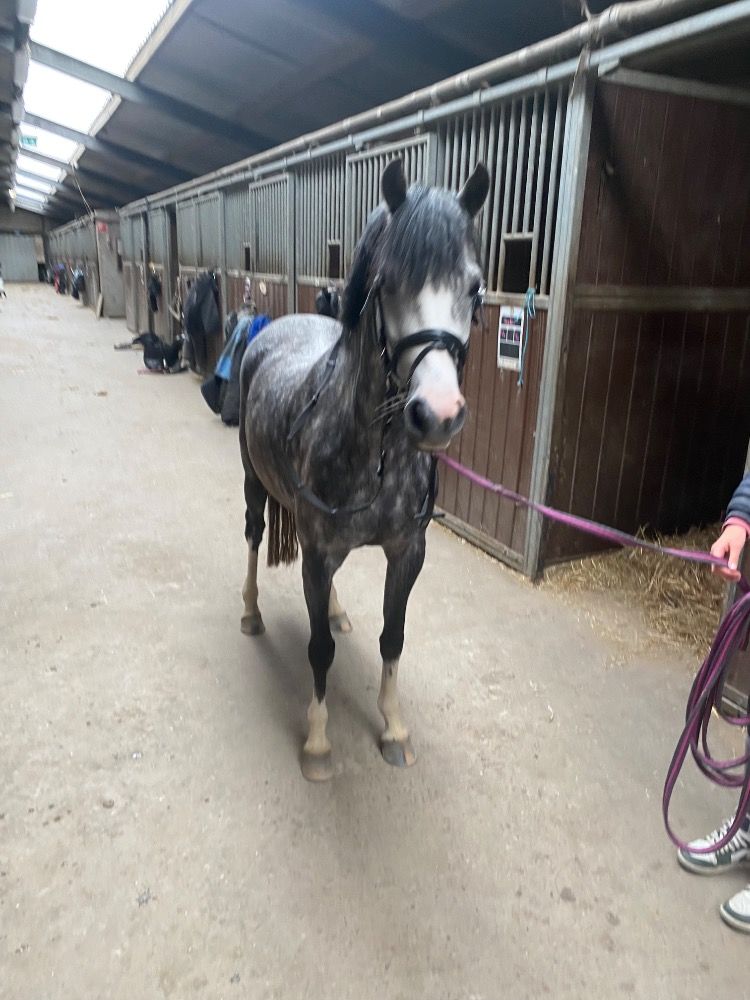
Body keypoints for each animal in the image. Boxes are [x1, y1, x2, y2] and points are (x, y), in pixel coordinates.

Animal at [239, 158, 489, 781]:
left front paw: (394, 728)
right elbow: (318, 651)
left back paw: (335, 611)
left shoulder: (407, 552)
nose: (438, 414)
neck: (379, 455)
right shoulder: (318, 549)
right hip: (253, 482)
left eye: (474, 288)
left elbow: (393, 638)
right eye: (389, 284)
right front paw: (318, 743)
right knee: (253, 535)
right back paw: (251, 612)